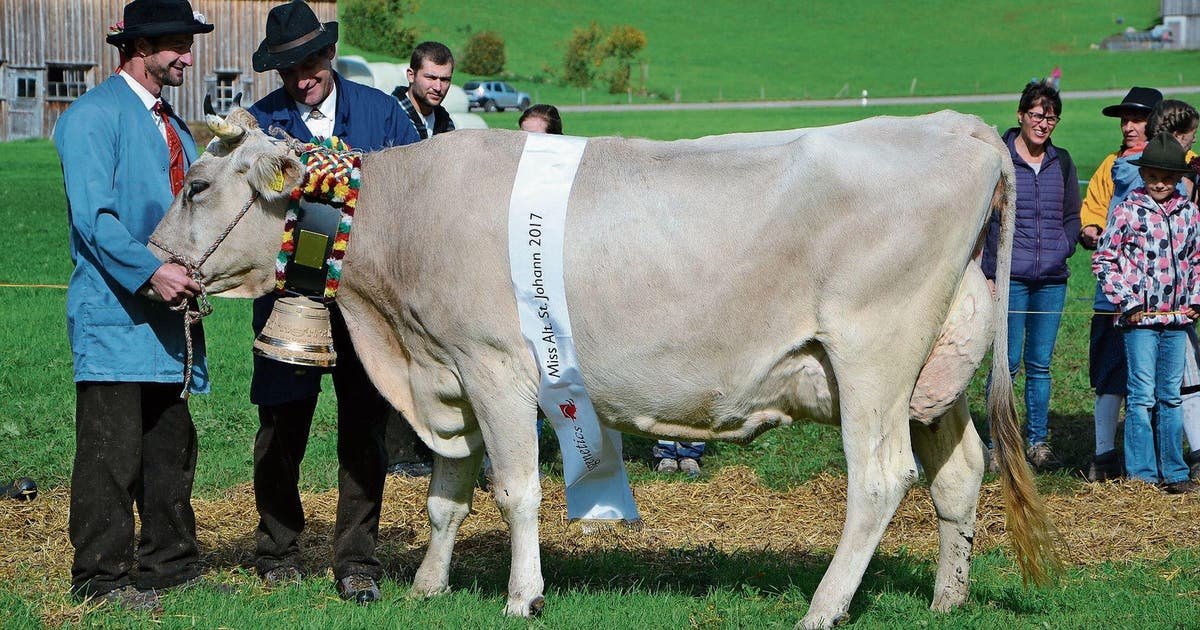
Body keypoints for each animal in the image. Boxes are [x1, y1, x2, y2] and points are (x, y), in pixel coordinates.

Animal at [149, 108, 1058, 629]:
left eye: (197, 185)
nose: (153, 262)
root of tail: (962, 125)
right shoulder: (449, 377)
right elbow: (446, 497)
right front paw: (428, 588)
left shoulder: (495, 367)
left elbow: (514, 491)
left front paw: (523, 595)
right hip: (932, 374)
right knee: (958, 475)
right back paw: (948, 598)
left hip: (872, 357)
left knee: (879, 479)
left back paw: (825, 608)